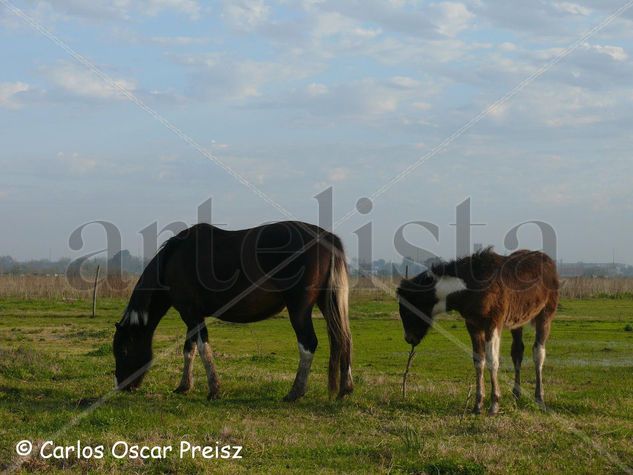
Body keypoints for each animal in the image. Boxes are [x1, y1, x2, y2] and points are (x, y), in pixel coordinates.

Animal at [113, 222, 350, 402]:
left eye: (123, 351)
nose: (123, 386)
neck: (173, 260)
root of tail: (327, 237)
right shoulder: (191, 317)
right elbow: (188, 349)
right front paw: (184, 386)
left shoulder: (192, 315)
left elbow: (202, 348)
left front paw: (214, 390)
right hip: (327, 304)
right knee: (343, 339)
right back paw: (345, 389)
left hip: (299, 309)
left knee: (308, 343)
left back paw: (295, 392)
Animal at [396, 249, 556, 416]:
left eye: (407, 311)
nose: (409, 338)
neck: (470, 288)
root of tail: (547, 260)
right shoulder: (473, 325)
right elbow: (479, 360)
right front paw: (478, 404)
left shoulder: (493, 323)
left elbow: (492, 360)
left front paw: (494, 404)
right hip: (517, 322)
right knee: (517, 352)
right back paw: (516, 395)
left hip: (545, 315)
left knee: (538, 353)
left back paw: (539, 399)